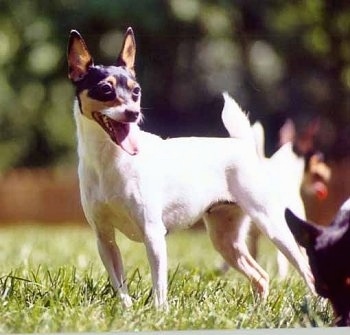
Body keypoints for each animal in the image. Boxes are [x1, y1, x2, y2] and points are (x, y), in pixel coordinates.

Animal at [67, 27, 314, 308]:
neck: (110, 160)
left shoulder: (153, 235)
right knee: (260, 276)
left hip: (272, 225)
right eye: (105, 89)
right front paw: (127, 311)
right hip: (225, 239)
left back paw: (317, 305)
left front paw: (159, 312)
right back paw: (258, 311)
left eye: (136, 91)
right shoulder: (105, 239)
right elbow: (120, 286)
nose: (133, 113)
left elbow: (159, 286)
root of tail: (244, 146)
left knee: (305, 269)